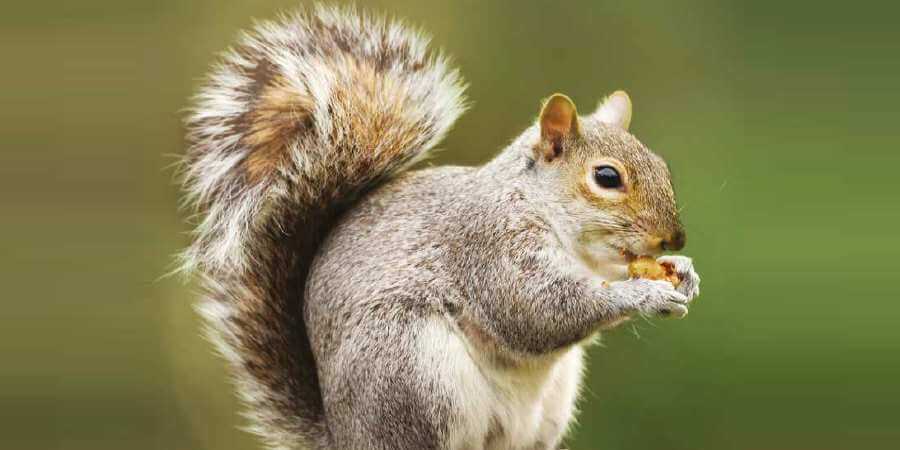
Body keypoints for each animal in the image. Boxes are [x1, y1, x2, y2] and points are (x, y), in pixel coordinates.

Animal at [181, 4, 704, 450]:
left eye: (661, 165)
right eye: (607, 177)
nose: (674, 238)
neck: (551, 218)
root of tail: (345, 436)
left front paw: (680, 270)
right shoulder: (491, 245)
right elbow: (538, 310)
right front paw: (644, 293)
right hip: (412, 370)